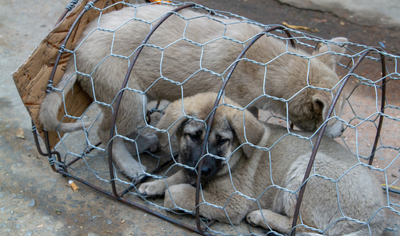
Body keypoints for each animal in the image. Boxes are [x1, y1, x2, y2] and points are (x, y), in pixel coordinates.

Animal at [39, 4, 348, 177]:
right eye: (331, 115)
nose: (344, 129)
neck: (269, 66)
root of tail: (77, 47)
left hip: (133, 97)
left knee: (122, 129)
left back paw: (147, 142)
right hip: (128, 96)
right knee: (107, 133)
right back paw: (130, 165)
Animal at [138, 92, 388, 236]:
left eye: (222, 141)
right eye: (194, 136)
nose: (204, 169)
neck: (234, 157)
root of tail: (378, 219)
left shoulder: (232, 202)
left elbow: (179, 193)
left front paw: (170, 193)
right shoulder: (192, 168)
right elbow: (177, 176)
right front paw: (153, 184)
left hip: (308, 170)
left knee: (303, 228)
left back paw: (261, 216)